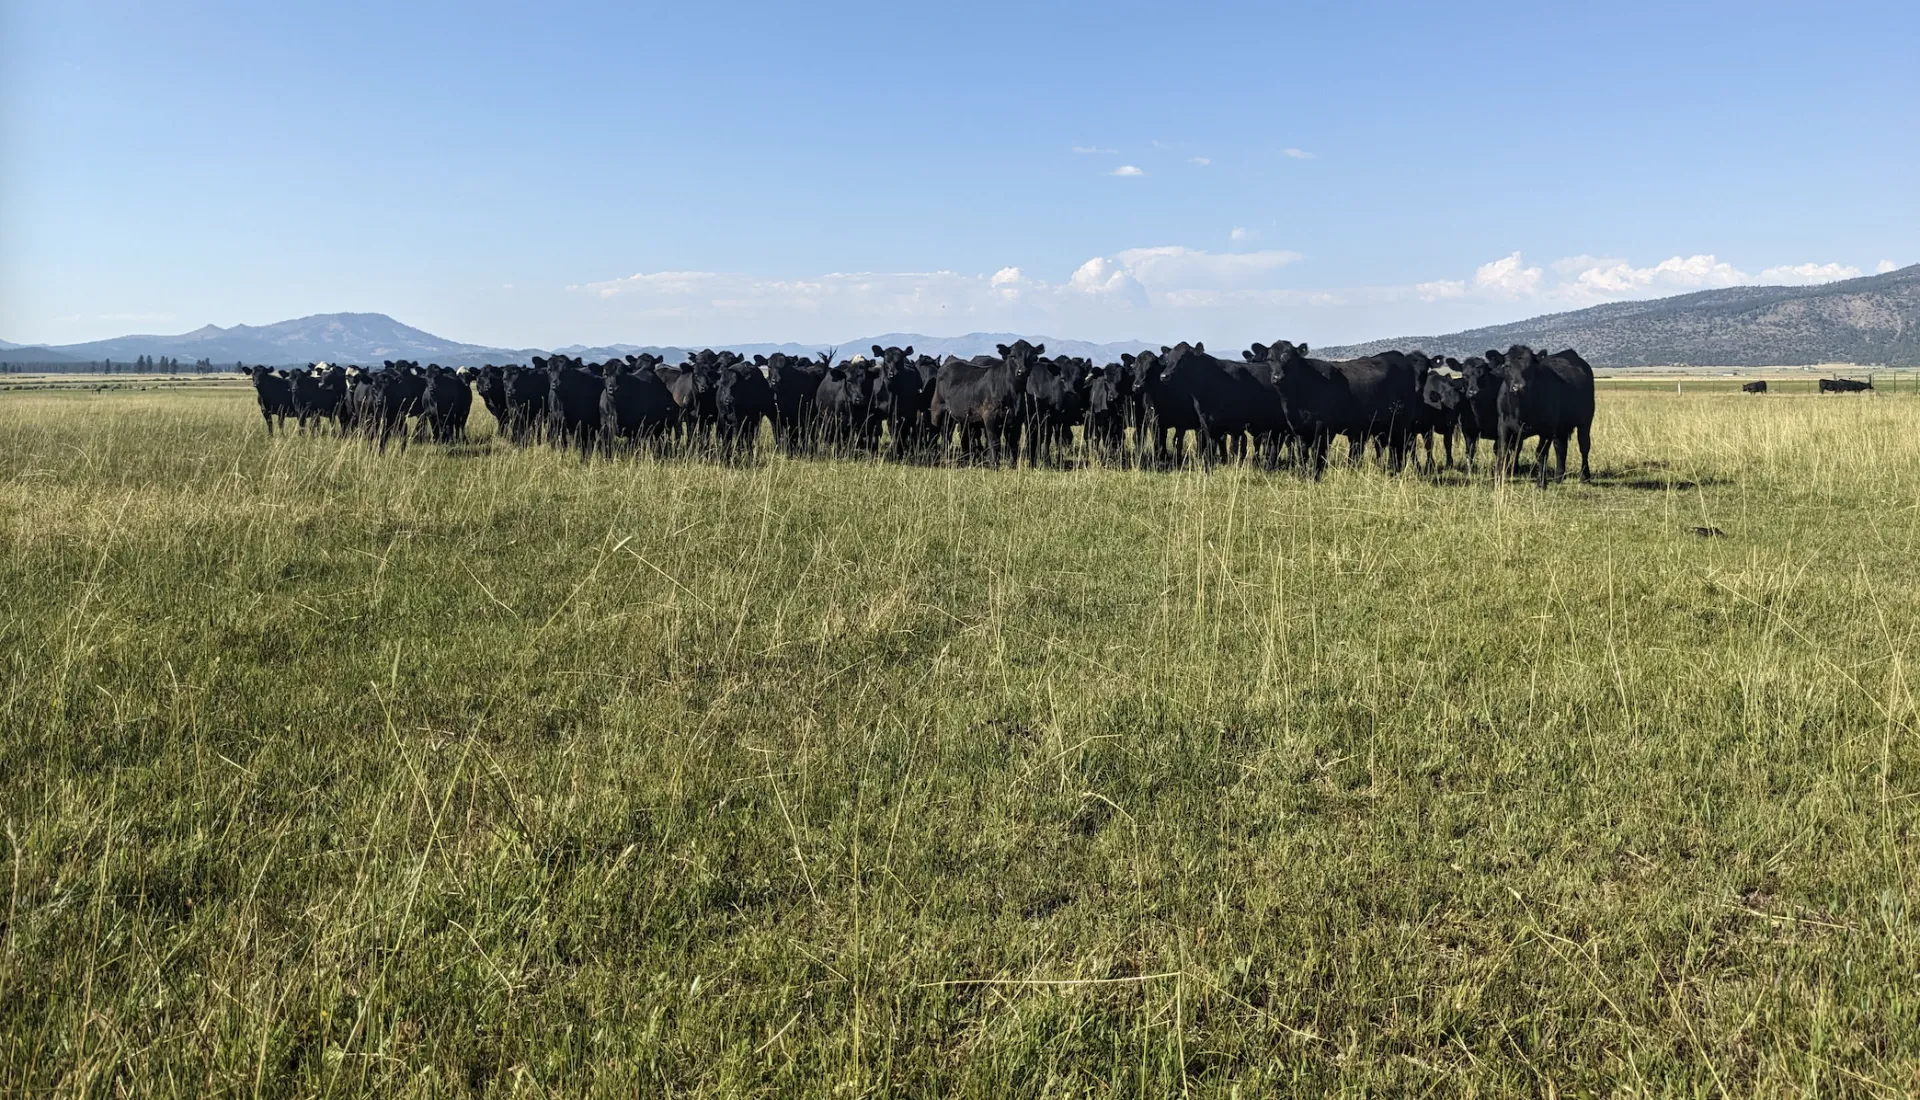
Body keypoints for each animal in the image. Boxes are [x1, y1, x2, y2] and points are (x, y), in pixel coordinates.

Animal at [1492, 345, 1595, 487]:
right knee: (1561, 448)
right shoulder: (1502, 425)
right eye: (1507, 366)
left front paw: (1541, 483)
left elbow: (1540, 453)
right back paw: (1558, 477)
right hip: (1561, 427)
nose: (1518, 387)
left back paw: (1585, 477)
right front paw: (1499, 480)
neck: (1521, 409)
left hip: (1585, 421)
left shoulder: (1547, 429)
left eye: (1530, 367)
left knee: (1584, 447)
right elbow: (1503, 451)